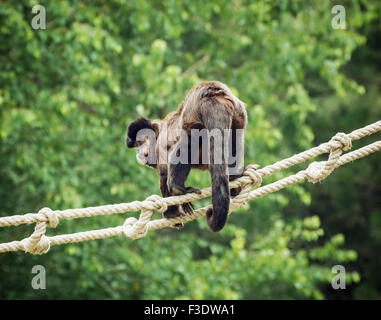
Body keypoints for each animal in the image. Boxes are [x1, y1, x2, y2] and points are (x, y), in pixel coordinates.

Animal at [126, 81, 248, 231]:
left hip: (192, 112)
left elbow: (164, 174)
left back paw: (177, 188)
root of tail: (212, 91)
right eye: (136, 145)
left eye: (139, 142)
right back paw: (233, 177)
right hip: (238, 113)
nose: (138, 151)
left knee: (191, 137)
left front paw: (171, 213)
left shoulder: (160, 145)